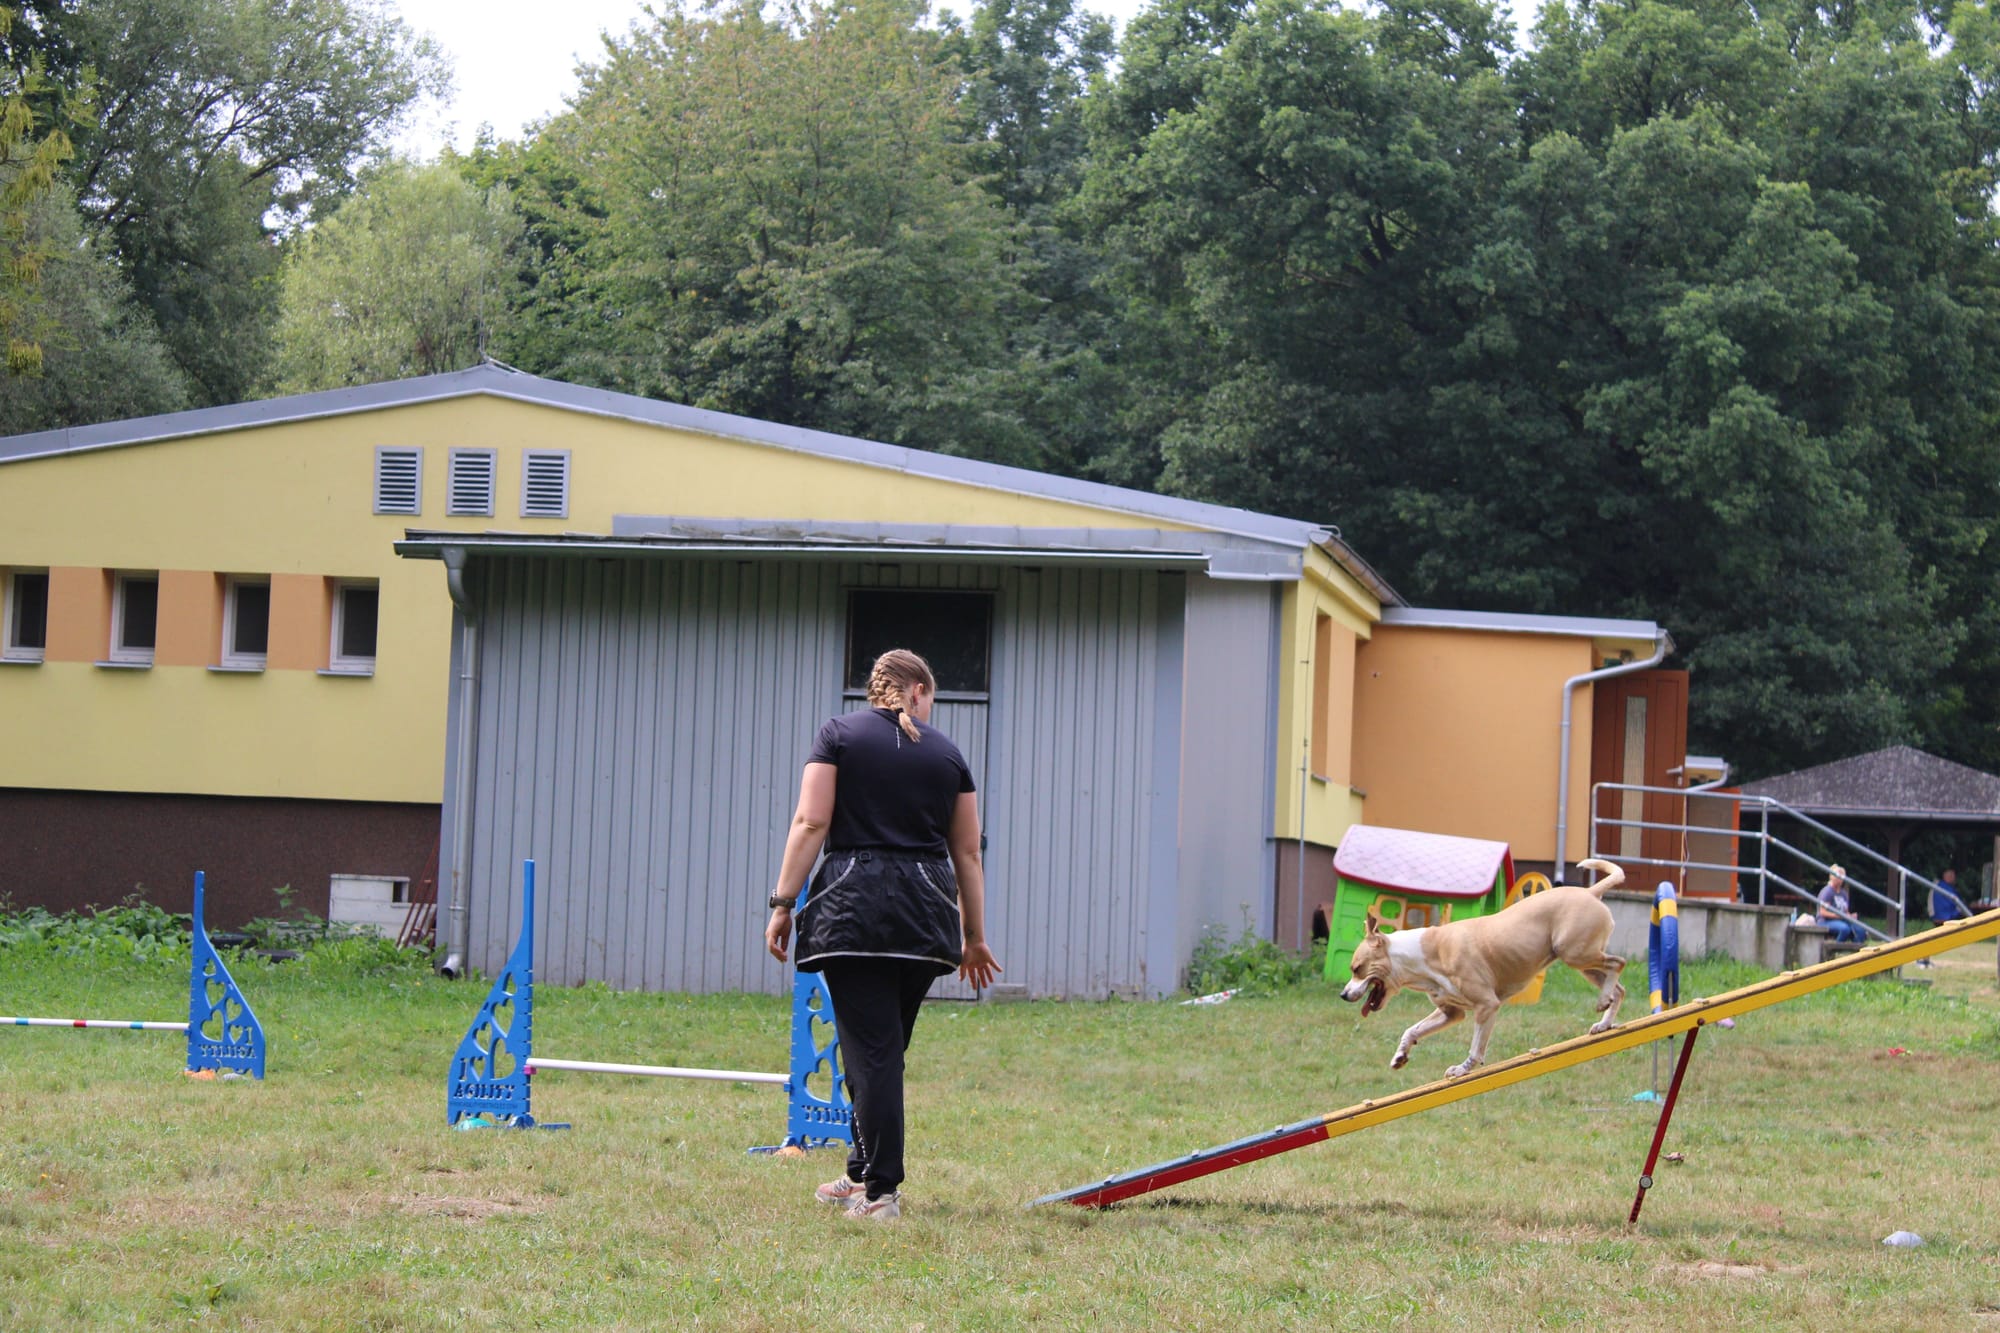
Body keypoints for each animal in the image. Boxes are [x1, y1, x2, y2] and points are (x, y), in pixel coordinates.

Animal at [1339, 858, 1627, 1078]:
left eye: (1357, 968)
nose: (1343, 995)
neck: (1419, 955)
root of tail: (1590, 892)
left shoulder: (1486, 1005)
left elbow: (1476, 1046)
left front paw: (1462, 1069)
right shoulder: (1451, 1012)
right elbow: (1412, 1029)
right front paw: (1400, 1055)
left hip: (1575, 953)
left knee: (1618, 963)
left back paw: (1602, 1000)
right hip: (1583, 963)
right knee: (1619, 988)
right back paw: (1604, 1023)